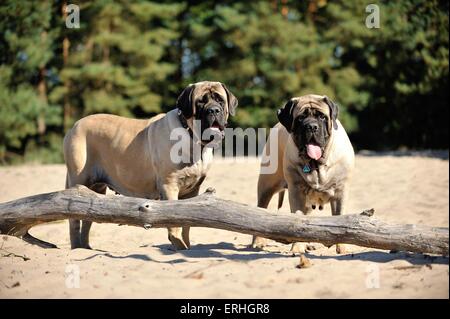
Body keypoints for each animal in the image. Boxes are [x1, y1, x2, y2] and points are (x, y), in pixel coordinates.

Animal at [65, 81, 239, 251]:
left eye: (220, 100)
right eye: (200, 101)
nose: (214, 110)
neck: (192, 137)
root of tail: (74, 126)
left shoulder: (192, 191)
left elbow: (187, 224)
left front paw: (186, 246)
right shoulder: (170, 186)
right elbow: (175, 224)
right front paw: (178, 246)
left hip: (96, 189)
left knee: (87, 218)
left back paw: (85, 247)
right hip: (79, 180)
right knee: (74, 220)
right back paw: (76, 248)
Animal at [253, 94, 356, 254]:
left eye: (322, 117)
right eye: (300, 118)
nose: (312, 126)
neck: (316, 164)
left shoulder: (341, 192)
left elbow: (340, 216)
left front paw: (342, 248)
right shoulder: (296, 192)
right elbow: (298, 219)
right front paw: (297, 247)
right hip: (267, 186)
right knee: (261, 209)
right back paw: (258, 242)